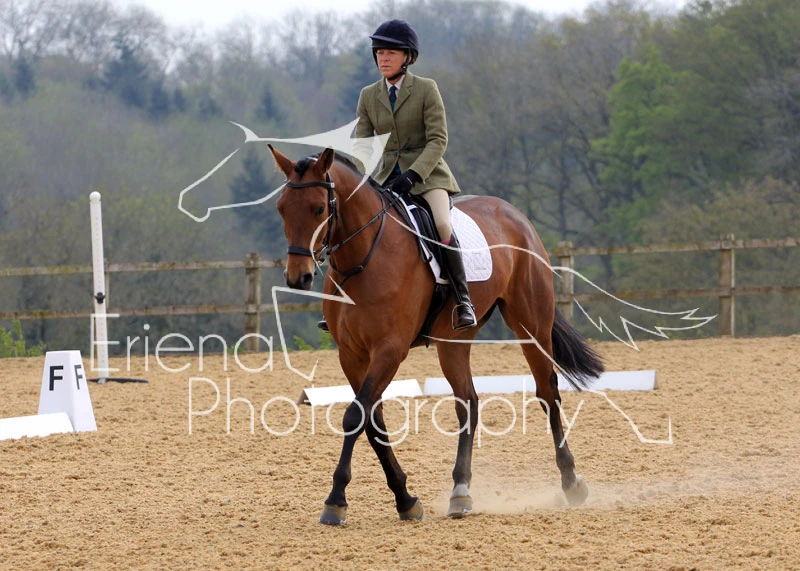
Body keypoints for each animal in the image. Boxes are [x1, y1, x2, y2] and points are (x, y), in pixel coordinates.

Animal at [269, 145, 604, 525]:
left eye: (319, 208)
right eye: (281, 208)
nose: (297, 277)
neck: (364, 256)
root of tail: (515, 214)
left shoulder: (390, 350)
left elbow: (355, 416)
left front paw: (336, 500)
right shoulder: (351, 355)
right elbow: (372, 421)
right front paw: (405, 499)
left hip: (531, 324)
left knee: (548, 393)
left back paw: (571, 482)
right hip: (454, 341)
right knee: (468, 402)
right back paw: (461, 492)